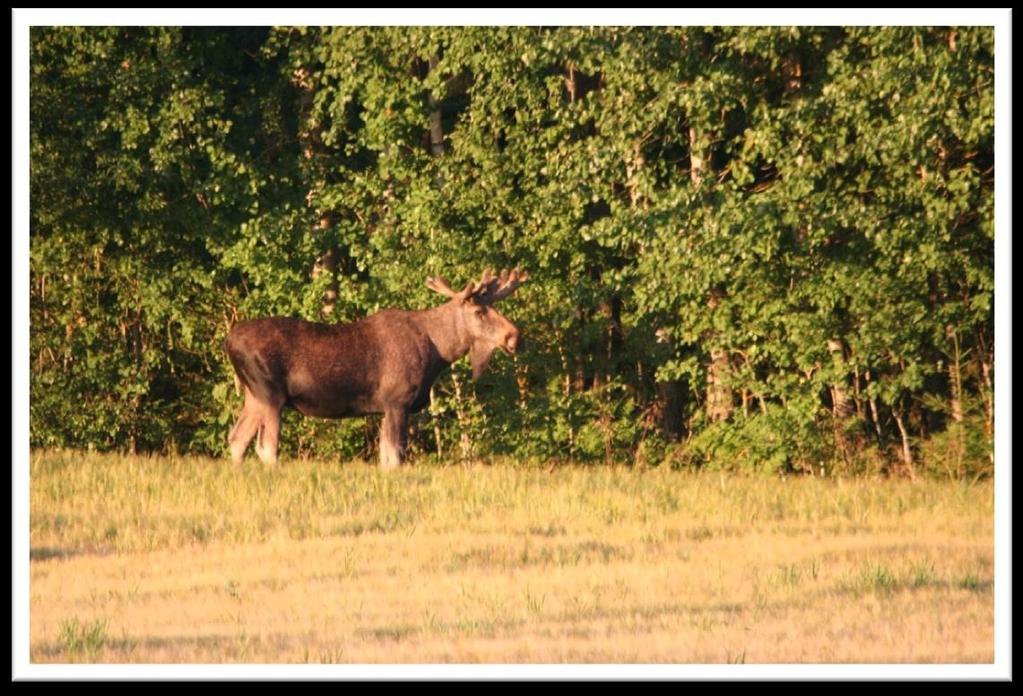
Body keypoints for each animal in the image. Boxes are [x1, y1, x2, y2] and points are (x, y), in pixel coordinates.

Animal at [224, 266, 527, 466]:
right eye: (479, 311)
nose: (514, 336)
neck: (437, 352)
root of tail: (228, 341)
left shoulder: (387, 407)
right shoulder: (397, 400)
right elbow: (394, 457)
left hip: (253, 395)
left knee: (237, 439)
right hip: (270, 394)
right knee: (266, 447)